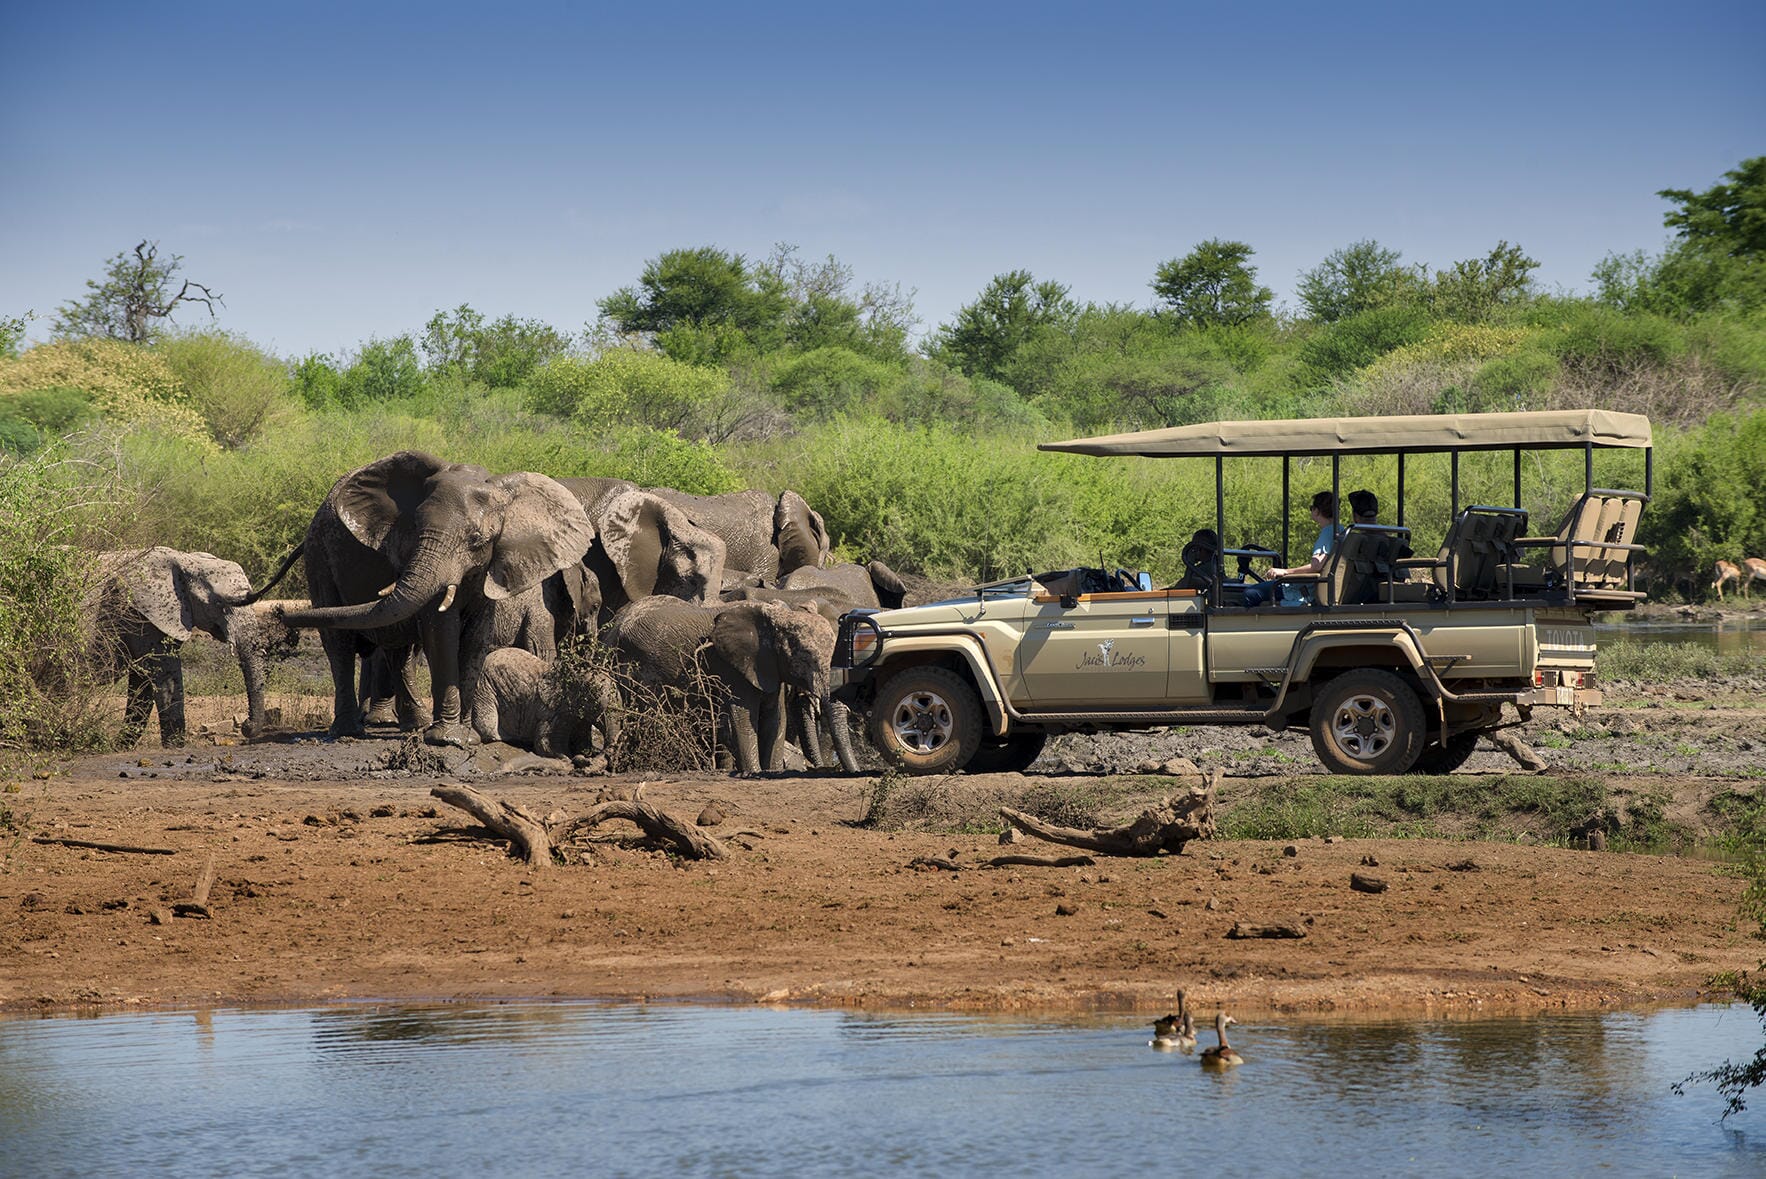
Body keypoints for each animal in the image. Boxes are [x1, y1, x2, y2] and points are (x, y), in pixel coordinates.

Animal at [90, 547, 286, 744]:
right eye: (219, 603)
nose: (245, 725)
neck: (186, 560)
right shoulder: (143, 616)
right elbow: (165, 676)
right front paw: (175, 746)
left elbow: (144, 681)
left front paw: (121, 746)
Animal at [275, 451, 593, 744]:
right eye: (415, 528)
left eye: (478, 540)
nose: (279, 611)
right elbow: (441, 631)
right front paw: (447, 739)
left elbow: (476, 637)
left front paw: (468, 737)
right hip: (319, 554)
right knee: (339, 643)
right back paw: (348, 732)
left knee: (398, 647)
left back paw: (414, 725)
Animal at [469, 645, 621, 755]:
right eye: (595, 699)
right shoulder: (551, 709)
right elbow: (544, 744)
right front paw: (566, 757)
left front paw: (585, 754)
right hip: (484, 687)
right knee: (489, 728)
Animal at [603, 600, 858, 773]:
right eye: (805, 657)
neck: (776, 616)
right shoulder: (733, 667)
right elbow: (742, 720)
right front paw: (754, 772)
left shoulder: (769, 667)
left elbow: (775, 720)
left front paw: (772, 772)